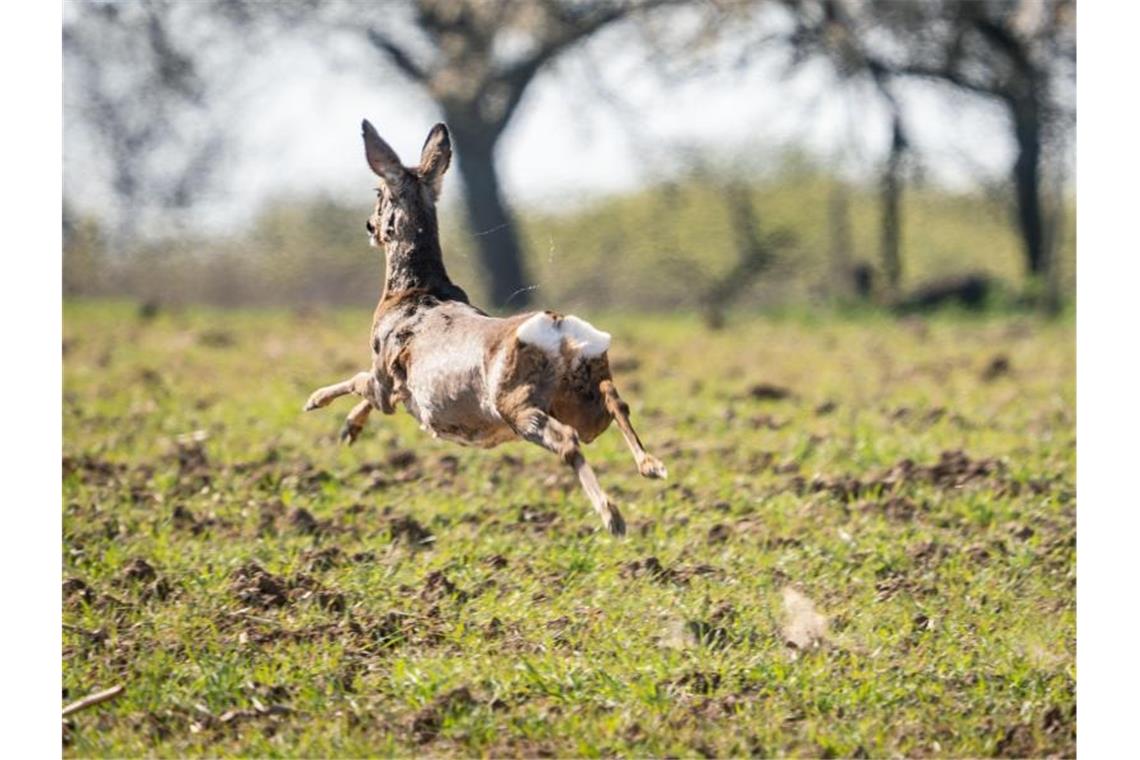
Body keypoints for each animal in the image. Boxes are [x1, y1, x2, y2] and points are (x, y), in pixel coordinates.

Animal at [303, 120, 665, 535]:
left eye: (379, 193)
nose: (369, 226)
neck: (415, 290)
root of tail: (559, 332)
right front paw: (348, 429)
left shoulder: (385, 375)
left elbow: (359, 381)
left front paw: (320, 405)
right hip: (581, 394)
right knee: (615, 403)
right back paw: (651, 466)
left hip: (515, 401)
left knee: (567, 440)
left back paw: (612, 515)